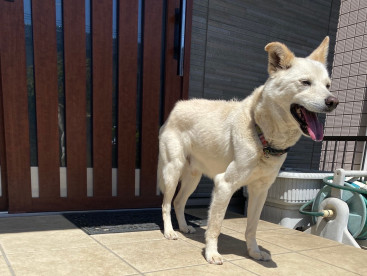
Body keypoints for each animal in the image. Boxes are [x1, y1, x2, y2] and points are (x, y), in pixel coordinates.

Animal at [158, 37, 340, 264]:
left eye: (328, 86)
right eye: (305, 82)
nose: (333, 101)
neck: (262, 135)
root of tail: (177, 106)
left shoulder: (260, 190)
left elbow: (252, 227)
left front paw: (254, 252)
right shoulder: (224, 185)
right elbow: (215, 226)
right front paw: (211, 253)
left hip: (193, 176)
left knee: (179, 202)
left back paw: (183, 227)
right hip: (172, 170)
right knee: (166, 203)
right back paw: (169, 231)